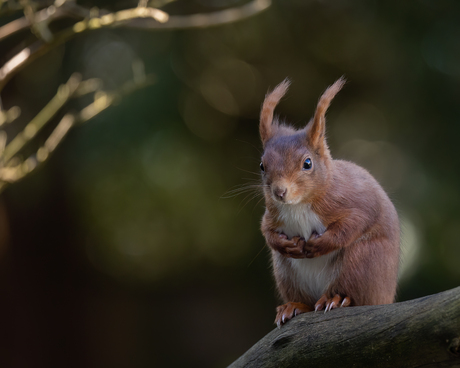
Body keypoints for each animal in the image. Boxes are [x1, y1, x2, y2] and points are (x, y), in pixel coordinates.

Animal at [260, 78, 400, 328]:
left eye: (307, 163)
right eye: (262, 166)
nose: (279, 192)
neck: (298, 205)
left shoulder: (353, 200)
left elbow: (355, 223)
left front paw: (321, 244)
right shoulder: (271, 216)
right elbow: (267, 231)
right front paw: (285, 245)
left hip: (361, 261)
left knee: (352, 294)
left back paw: (336, 299)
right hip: (286, 273)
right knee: (305, 302)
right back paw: (293, 306)